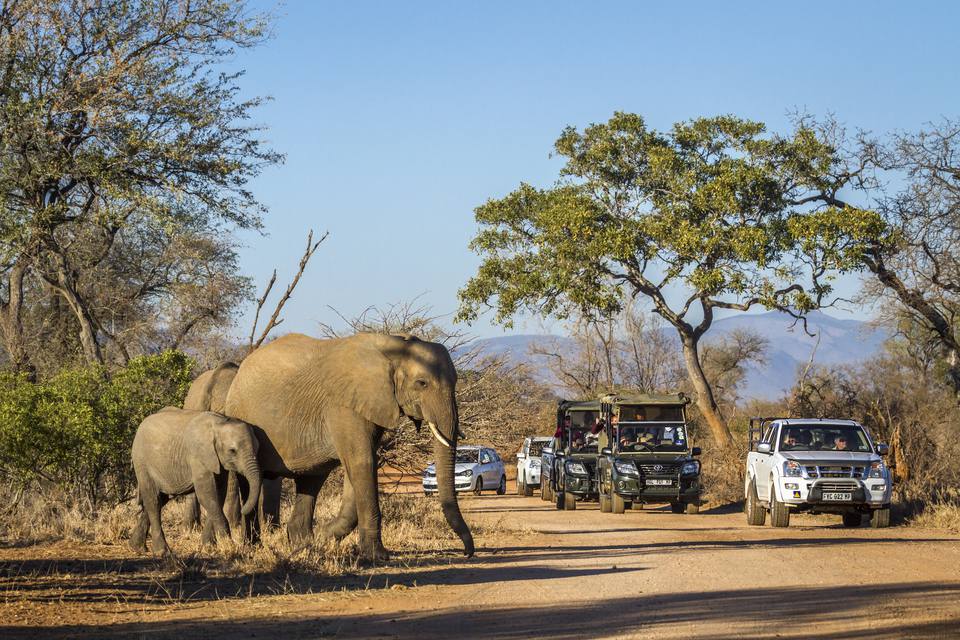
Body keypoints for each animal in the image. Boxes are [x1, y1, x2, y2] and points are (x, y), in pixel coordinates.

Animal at [130, 410, 262, 556]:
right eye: (232, 451)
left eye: (257, 448)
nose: (243, 511)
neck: (219, 424)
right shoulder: (198, 457)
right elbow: (206, 495)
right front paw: (229, 547)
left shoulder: (217, 461)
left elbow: (218, 494)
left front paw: (208, 547)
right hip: (142, 462)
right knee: (153, 501)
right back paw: (162, 552)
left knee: (160, 500)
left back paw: (137, 547)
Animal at [226, 330, 480, 560]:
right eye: (422, 383)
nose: (467, 553)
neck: (395, 346)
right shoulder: (344, 406)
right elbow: (362, 462)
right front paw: (377, 556)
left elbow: (360, 465)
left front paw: (324, 537)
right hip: (241, 418)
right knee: (250, 482)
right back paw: (255, 546)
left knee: (311, 481)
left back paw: (303, 546)